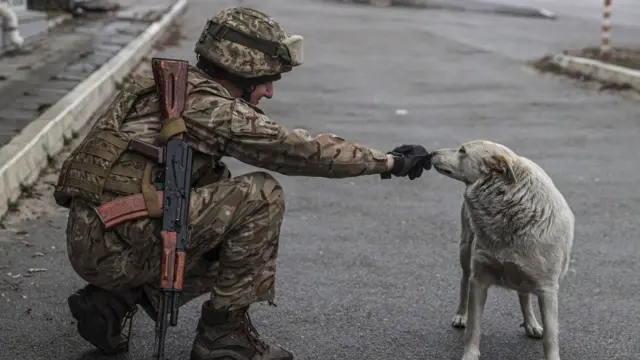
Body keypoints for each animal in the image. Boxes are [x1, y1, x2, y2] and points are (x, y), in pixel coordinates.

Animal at [430, 140, 576, 360]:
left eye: (462, 150)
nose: (431, 153)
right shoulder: (479, 280)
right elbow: (474, 327)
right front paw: (470, 354)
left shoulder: (548, 289)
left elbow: (550, 337)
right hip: (465, 250)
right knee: (464, 281)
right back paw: (461, 315)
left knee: (524, 295)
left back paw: (531, 324)